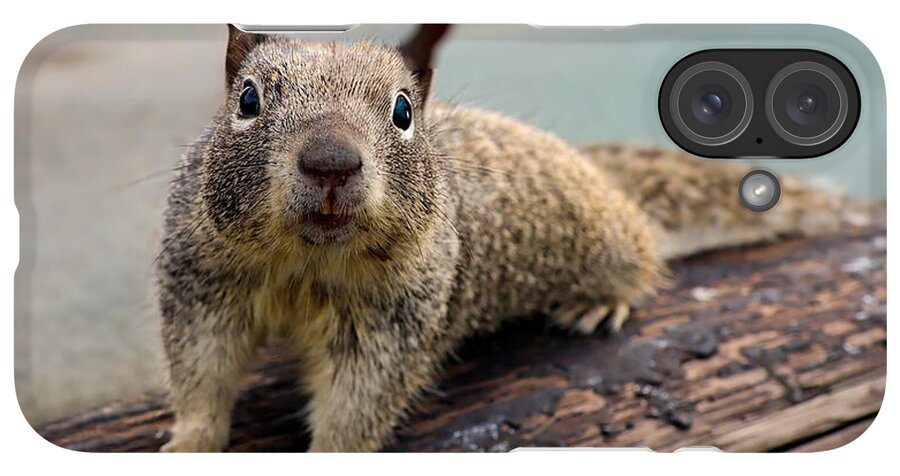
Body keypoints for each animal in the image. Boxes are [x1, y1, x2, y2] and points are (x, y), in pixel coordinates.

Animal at [158, 25, 859, 452]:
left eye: (403, 111)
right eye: (247, 100)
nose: (331, 162)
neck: (308, 263)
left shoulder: (394, 320)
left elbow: (358, 403)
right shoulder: (202, 283)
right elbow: (201, 372)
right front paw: (189, 440)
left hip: (608, 238)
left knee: (641, 254)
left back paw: (601, 300)